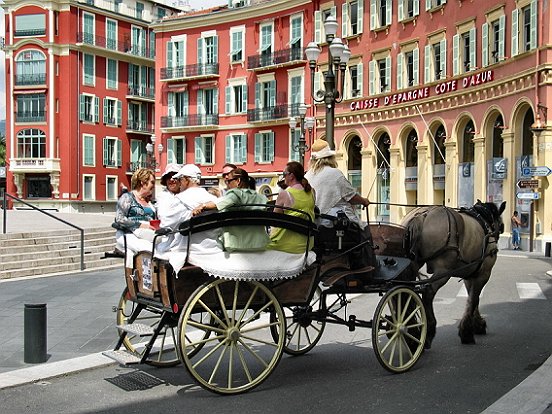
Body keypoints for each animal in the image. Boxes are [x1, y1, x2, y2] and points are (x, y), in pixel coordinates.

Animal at [398, 200, 506, 346]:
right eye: (501, 225)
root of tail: (422, 216)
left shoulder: (469, 276)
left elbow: (473, 298)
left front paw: (477, 324)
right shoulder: (483, 275)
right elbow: (473, 299)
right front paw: (467, 332)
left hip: (412, 266)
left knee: (406, 294)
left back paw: (412, 333)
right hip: (443, 271)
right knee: (428, 293)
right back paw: (428, 332)